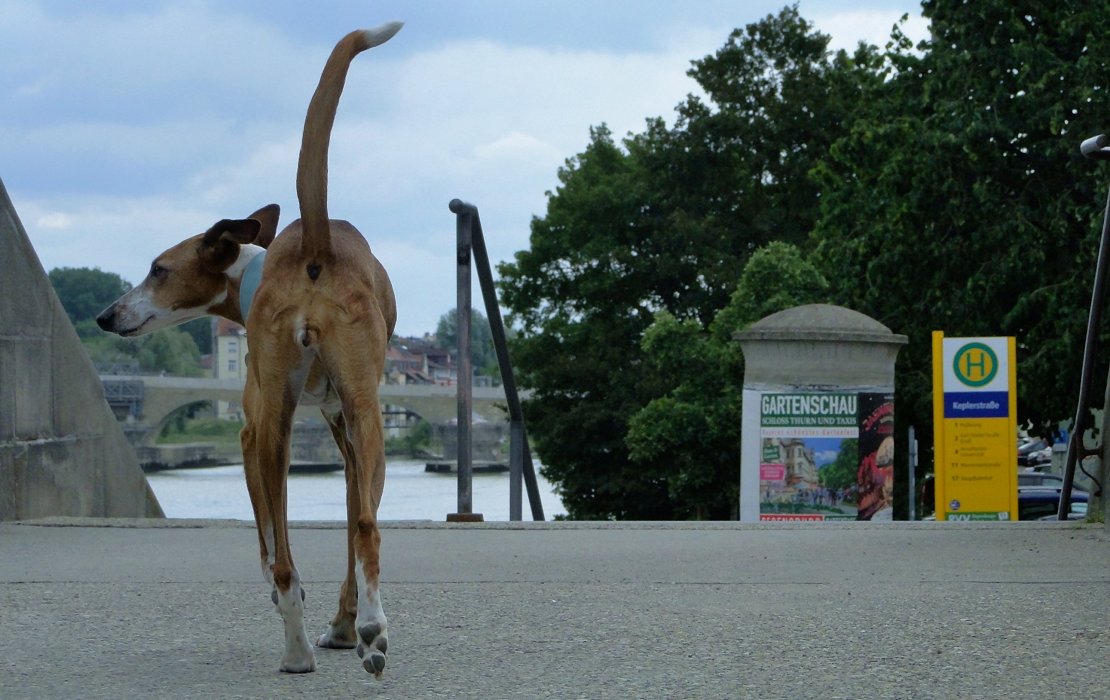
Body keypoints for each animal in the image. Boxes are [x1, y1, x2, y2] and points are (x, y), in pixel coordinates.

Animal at [96, 23, 404, 678]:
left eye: (158, 269)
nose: (106, 316)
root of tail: (314, 244)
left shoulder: (245, 430)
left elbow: (267, 543)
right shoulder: (343, 430)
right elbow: (349, 522)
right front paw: (347, 627)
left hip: (272, 425)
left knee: (286, 561)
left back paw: (295, 651)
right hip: (363, 418)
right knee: (366, 527)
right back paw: (369, 632)